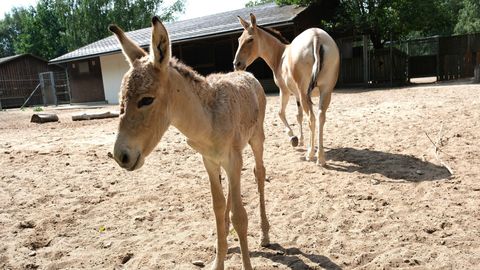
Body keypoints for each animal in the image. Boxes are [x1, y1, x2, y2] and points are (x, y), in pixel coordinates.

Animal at [110, 16, 270, 270]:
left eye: (147, 100)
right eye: (121, 100)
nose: (120, 156)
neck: (208, 120)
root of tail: (249, 75)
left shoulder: (233, 159)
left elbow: (240, 216)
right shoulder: (209, 162)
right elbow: (218, 208)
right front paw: (218, 260)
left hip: (257, 140)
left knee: (259, 173)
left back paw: (265, 234)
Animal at [233, 14, 340, 167]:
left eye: (250, 39)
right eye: (239, 40)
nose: (237, 64)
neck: (280, 55)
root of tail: (316, 36)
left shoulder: (284, 91)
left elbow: (281, 113)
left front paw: (293, 138)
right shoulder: (297, 95)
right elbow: (298, 116)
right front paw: (301, 140)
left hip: (305, 93)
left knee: (312, 119)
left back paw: (310, 155)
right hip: (326, 92)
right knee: (320, 117)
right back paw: (320, 157)